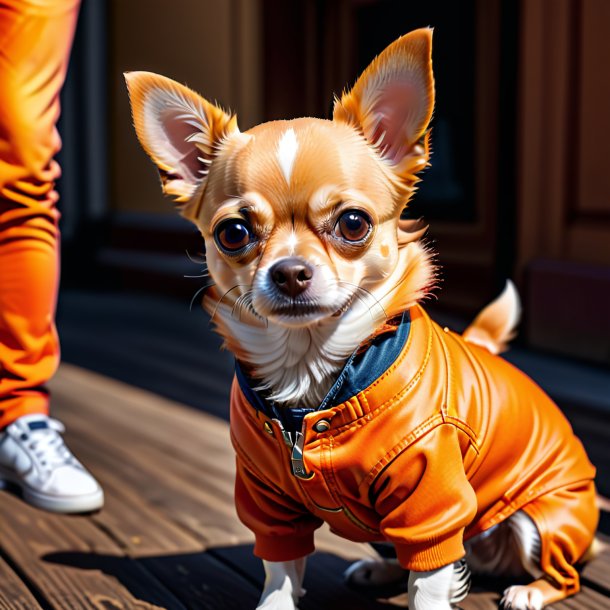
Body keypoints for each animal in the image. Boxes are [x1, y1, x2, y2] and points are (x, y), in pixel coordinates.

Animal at [126, 28, 596, 608]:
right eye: (232, 233)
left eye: (353, 223)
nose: (289, 272)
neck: (311, 377)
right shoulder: (267, 500)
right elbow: (280, 566)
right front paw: (275, 603)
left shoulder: (432, 502)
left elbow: (431, 578)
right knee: (402, 552)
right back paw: (381, 570)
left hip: (540, 523)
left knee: (560, 571)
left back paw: (530, 590)